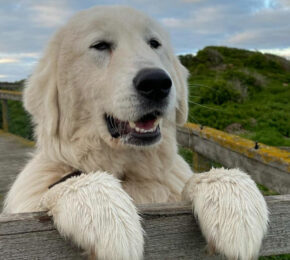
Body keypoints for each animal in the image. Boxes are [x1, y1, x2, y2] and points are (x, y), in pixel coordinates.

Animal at [3, 6, 268, 260]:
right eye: (100, 45)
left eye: (154, 43)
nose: (157, 83)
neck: (129, 173)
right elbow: (72, 183)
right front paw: (108, 218)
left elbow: (206, 177)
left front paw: (236, 208)